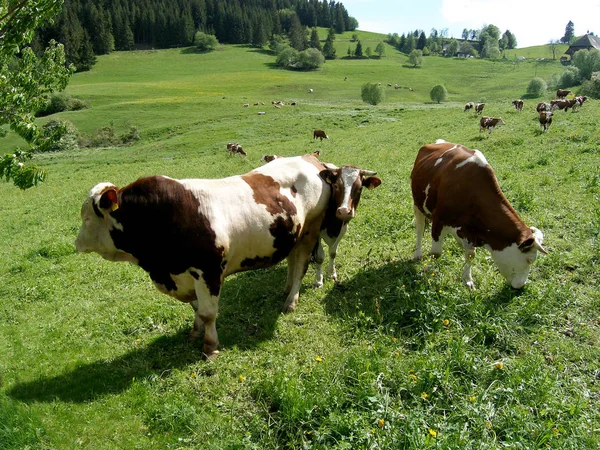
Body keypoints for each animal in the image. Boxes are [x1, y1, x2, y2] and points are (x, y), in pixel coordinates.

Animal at [76, 156, 342, 358]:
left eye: (87, 218)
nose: (76, 244)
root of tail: (311, 159)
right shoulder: (185, 275)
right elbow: (196, 308)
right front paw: (195, 332)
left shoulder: (208, 271)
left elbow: (207, 312)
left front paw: (210, 346)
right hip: (293, 234)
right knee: (293, 261)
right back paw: (286, 291)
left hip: (311, 230)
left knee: (301, 265)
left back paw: (290, 301)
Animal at [410, 139, 548, 290]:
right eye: (529, 260)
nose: (522, 285)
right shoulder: (438, 221)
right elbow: (436, 253)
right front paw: (428, 270)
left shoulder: (470, 230)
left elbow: (470, 255)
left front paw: (468, 279)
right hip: (417, 205)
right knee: (419, 229)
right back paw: (417, 253)